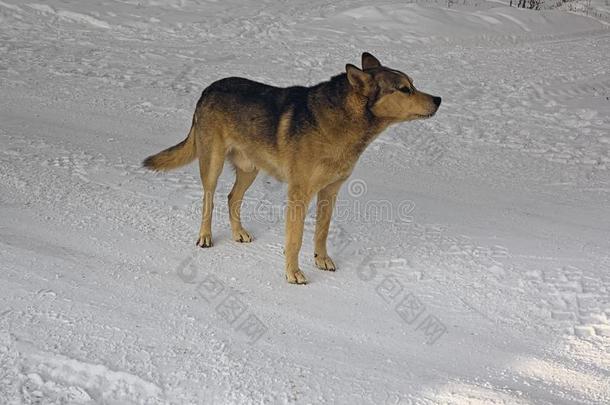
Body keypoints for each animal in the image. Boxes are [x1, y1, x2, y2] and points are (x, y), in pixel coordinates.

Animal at [142, 51, 436, 284]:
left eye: (413, 84)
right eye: (404, 89)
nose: (439, 99)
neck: (344, 124)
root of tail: (208, 89)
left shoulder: (329, 192)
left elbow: (321, 232)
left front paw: (322, 260)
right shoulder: (299, 194)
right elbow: (295, 240)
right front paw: (293, 273)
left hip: (249, 169)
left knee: (231, 198)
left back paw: (239, 233)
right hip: (212, 164)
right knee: (209, 200)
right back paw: (205, 237)